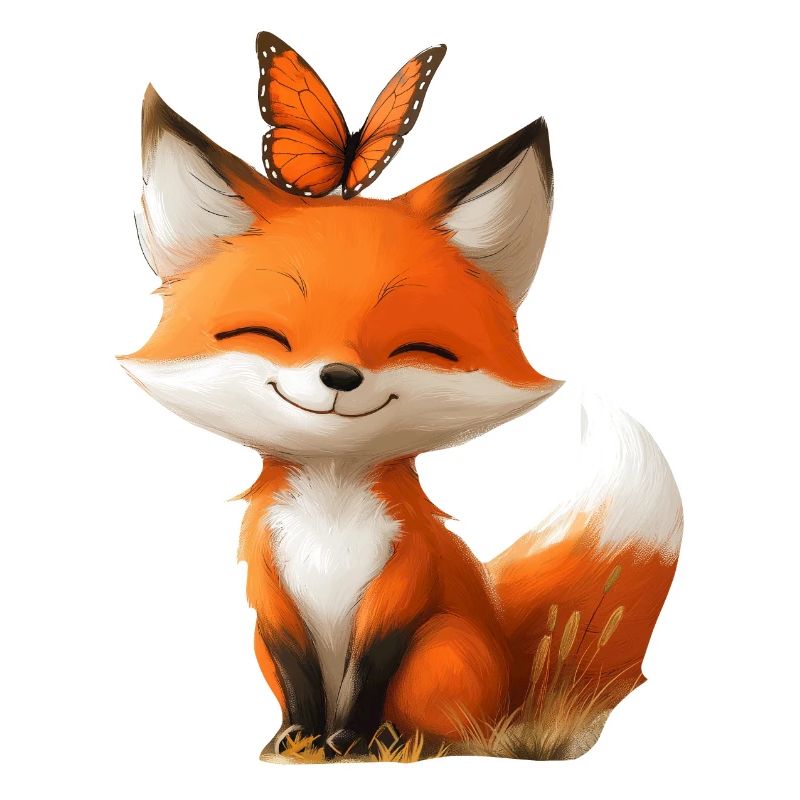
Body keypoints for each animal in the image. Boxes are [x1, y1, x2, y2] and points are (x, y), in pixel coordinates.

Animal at [121, 84, 683, 761]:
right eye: (268, 335)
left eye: (415, 347)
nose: (339, 376)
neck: (331, 508)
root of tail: (511, 677)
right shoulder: (268, 586)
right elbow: (295, 672)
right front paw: (297, 740)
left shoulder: (407, 571)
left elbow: (372, 667)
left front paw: (352, 740)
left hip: (443, 644)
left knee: (462, 729)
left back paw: (402, 739)